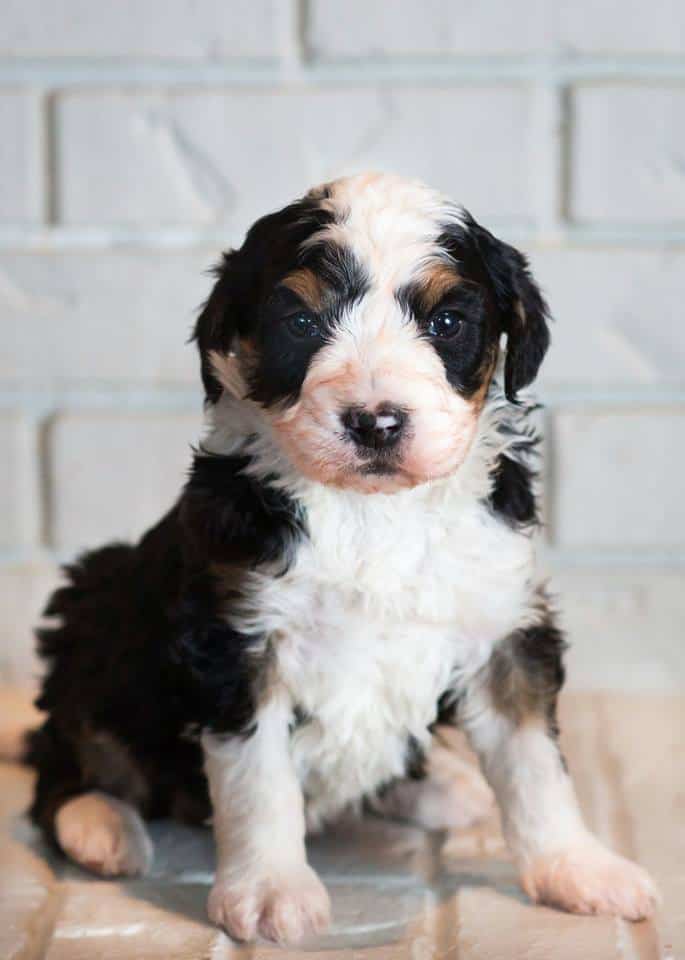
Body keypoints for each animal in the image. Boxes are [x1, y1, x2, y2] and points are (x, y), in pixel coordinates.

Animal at [29, 174, 656, 944]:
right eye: (301, 324)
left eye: (447, 323)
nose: (375, 422)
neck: (372, 511)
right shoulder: (236, 637)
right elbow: (258, 779)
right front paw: (270, 891)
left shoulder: (502, 618)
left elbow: (535, 761)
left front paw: (579, 868)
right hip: (92, 604)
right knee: (66, 751)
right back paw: (102, 827)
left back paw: (439, 785)